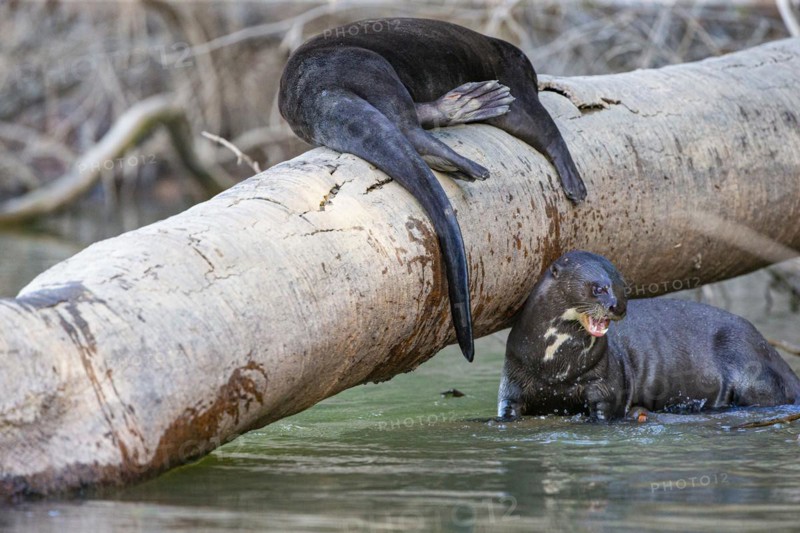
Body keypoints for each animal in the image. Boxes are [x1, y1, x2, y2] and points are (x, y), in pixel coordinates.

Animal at [279, 18, 587, 362]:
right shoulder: (515, 78)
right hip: (369, 66)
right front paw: (574, 181)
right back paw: (470, 124)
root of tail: (308, 89)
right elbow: (544, 127)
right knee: (407, 123)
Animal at [498, 251, 800, 420]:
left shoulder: (603, 384)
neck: (555, 369)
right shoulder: (513, 377)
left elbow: (605, 409)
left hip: (748, 363)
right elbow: (507, 408)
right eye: (598, 288)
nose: (618, 306)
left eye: (624, 287)